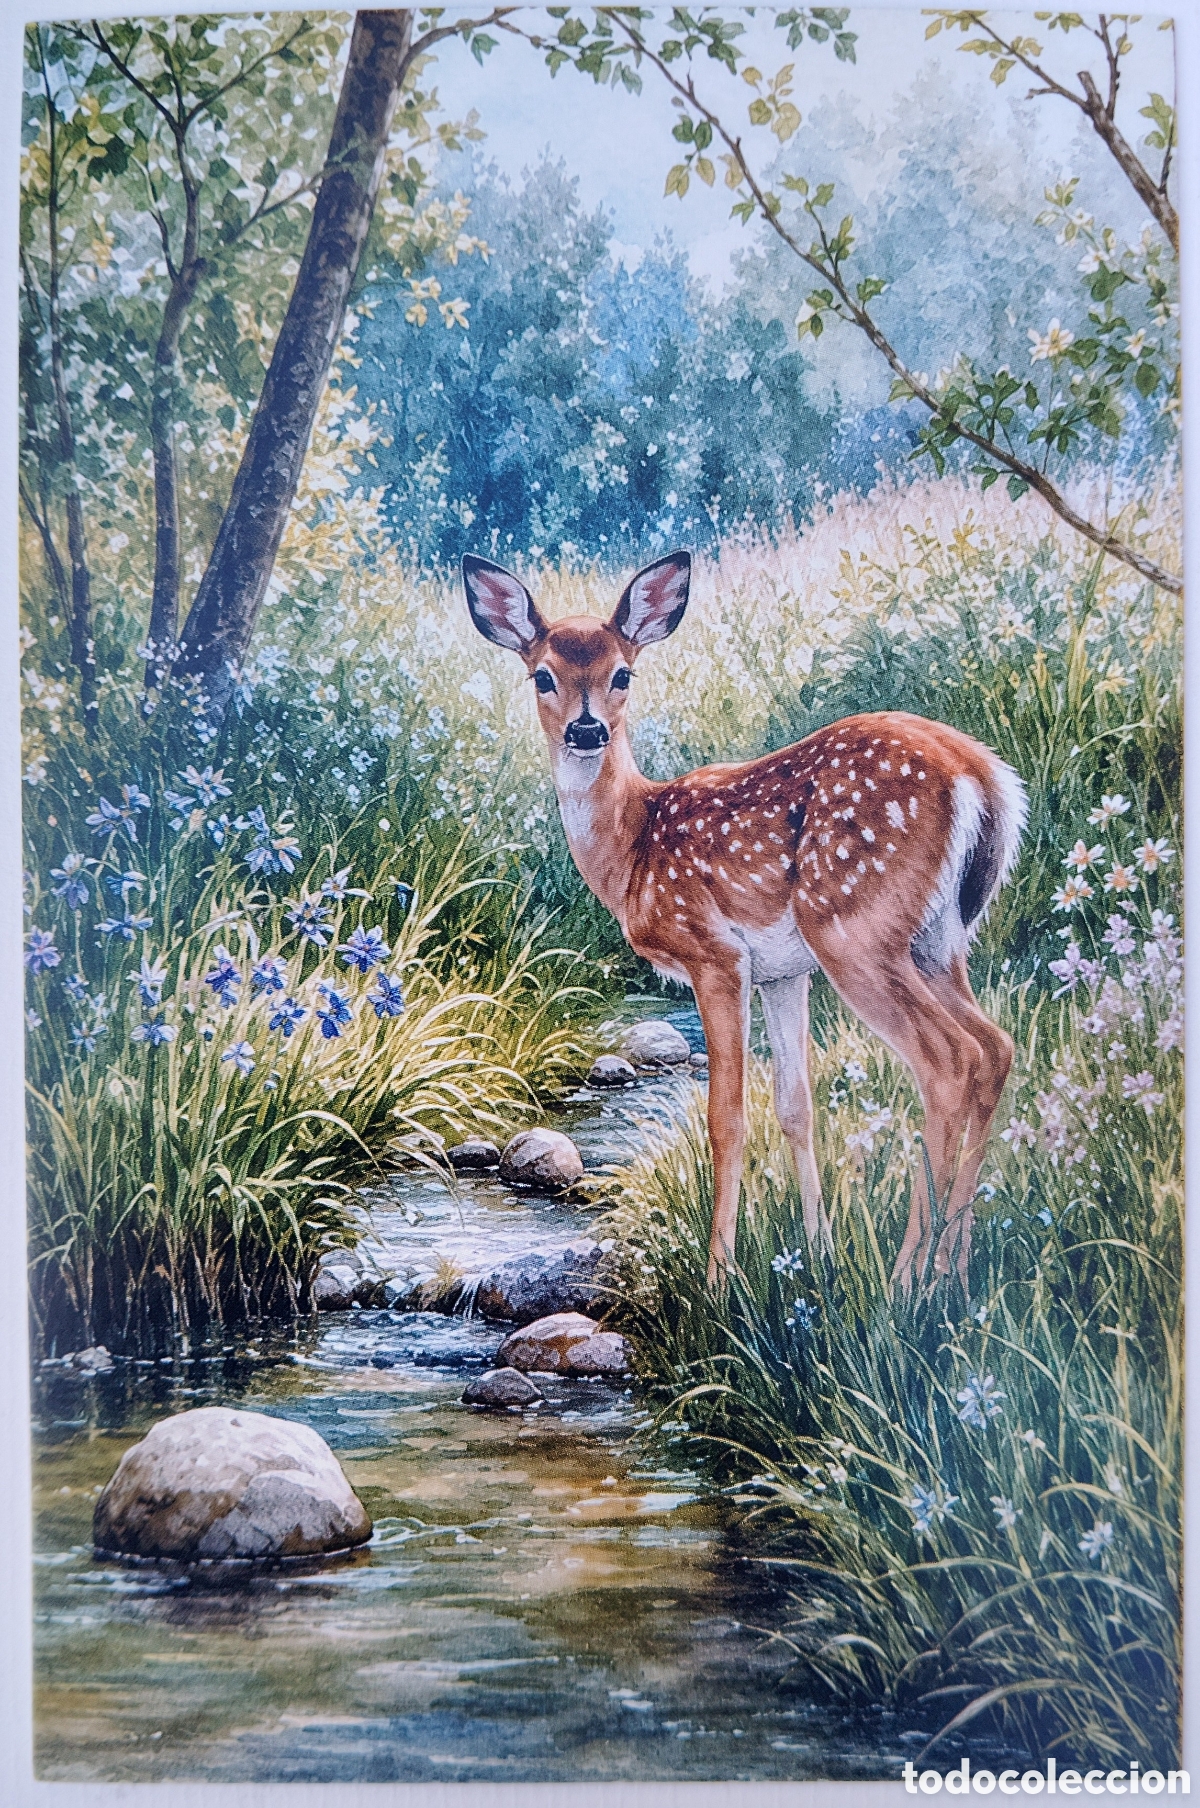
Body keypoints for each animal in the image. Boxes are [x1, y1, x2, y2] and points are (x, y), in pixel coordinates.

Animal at [462, 549, 1026, 1294]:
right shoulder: (783, 973)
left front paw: (717, 1278)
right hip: (938, 940)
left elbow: (726, 1117)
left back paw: (908, 1276)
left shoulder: (714, 955)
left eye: (623, 672)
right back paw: (954, 1268)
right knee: (995, 1046)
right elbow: (795, 1107)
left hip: (855, 927)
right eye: (542, 675)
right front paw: (817, 1251)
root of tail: (983, 776)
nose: (587, 730)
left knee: (947, 1060)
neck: (634, 849)